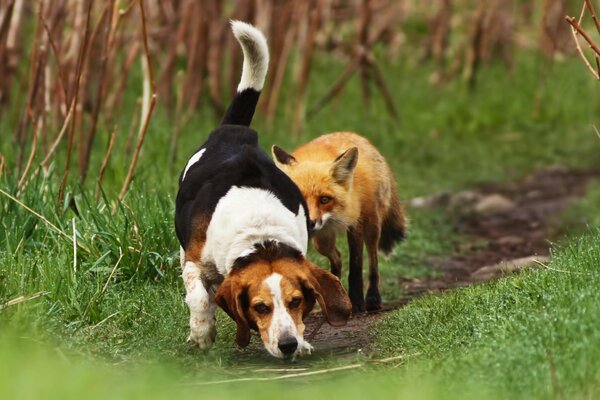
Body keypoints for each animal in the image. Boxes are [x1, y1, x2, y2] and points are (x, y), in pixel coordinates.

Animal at [175, 21, 352, 360]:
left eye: (296, 301)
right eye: (260, 307)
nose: (288, 345)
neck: (260, 238)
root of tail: (236, 131)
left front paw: (303, 341)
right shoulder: (195, 262)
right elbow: (199, 297)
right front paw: (202, 331)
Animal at [274, 133, 408, 310]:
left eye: (324, 200)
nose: (310, 223)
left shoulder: (355, 224)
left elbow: (356, 266)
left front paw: (357, 303)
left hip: (372, 226)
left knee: (373, 261)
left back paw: (373, 298)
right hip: (322, 242)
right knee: (337, 258)